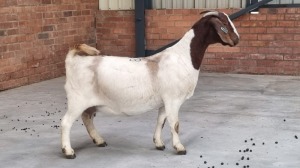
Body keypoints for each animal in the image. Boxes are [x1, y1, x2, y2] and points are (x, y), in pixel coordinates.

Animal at [60, 10, 239, 159]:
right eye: (224, 25)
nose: (237, 40)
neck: (184, 57)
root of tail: (73, 59)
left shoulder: (164, 102)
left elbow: (161, 121)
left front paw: (159, 143)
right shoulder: (173, 100)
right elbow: (175, 124)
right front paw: (179, 147)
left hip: (88, 103)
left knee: (87, 118)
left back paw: (99, 140)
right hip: (77, 100)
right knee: (66, 122)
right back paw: (68, 151)